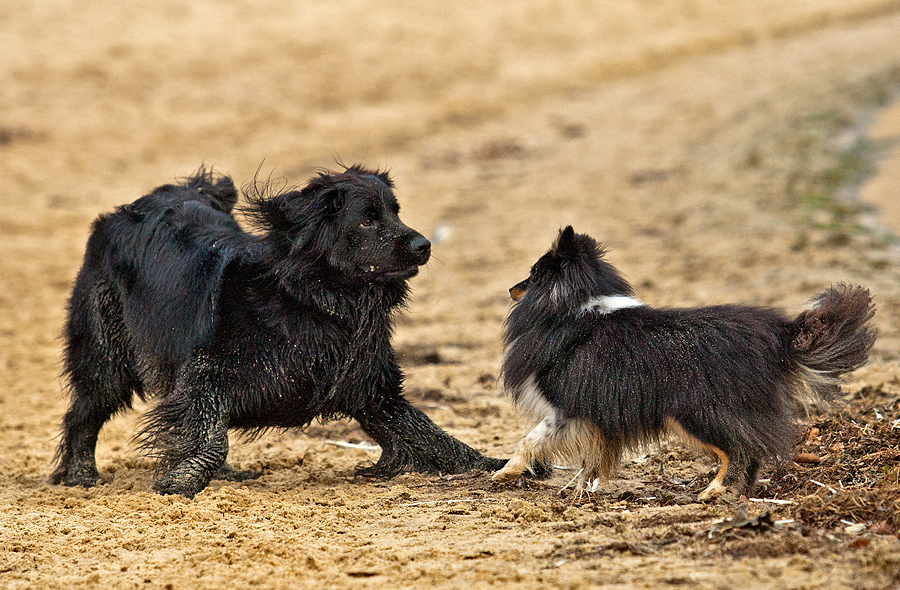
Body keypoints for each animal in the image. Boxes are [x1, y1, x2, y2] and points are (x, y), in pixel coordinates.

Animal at [54, 166, 506, 500]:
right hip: (106, 355)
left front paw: (496, 465)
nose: (424, 245)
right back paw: (80, 477)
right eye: (366, 219)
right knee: (83, 413)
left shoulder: (372, 388)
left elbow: (433, 436)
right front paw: (178, 483)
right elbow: (210, 435)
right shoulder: (205, 372)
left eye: (396, 211)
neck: (314, 301)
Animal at [488, 229, 876, 502]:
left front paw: (505, 473)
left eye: (534, 274)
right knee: (752, 452)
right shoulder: (597, 416)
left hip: (697, 412)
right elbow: (591, 459)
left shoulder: (568, 409)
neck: (577, 307)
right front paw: (580, 488)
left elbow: (530, 439)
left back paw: (714, 491)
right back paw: (737, 493)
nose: (509, 289)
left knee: (740, 449)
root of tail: (780, 335)